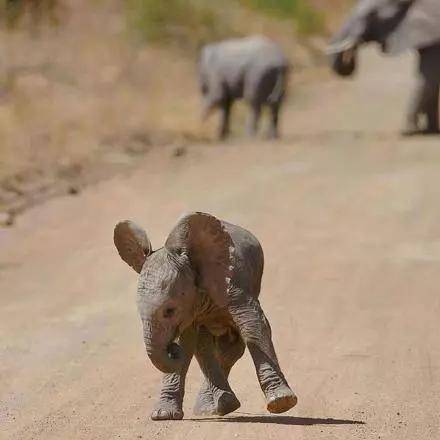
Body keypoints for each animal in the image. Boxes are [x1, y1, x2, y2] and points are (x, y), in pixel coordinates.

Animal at [113, 212, 296, 420]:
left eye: (170, 311)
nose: (171, 348)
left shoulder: (233, 283)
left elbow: (253, 325)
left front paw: (281, 402)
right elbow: (188, 343)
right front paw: (162, 415)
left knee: (228, 347)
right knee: (205, 345)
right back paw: (217, 407)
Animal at [328, 0, 440, 134]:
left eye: (371, 14)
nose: (349, 56)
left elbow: (428, 79)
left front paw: (408, 131)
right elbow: (429, 81)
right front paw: (431, 130)